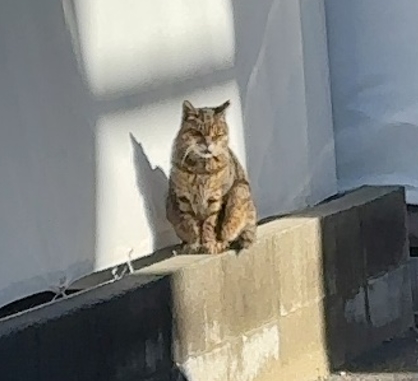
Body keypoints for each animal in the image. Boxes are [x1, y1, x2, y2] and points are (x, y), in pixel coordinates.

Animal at [167, 98, 258, 252]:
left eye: (217, 135)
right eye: (198, 133)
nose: (208, 144)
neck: (201, 168)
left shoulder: (216, 198)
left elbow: (211, 223)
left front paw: (210, 242)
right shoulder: (184, 198)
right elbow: (191, 224)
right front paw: (194, 243)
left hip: (239, 191)